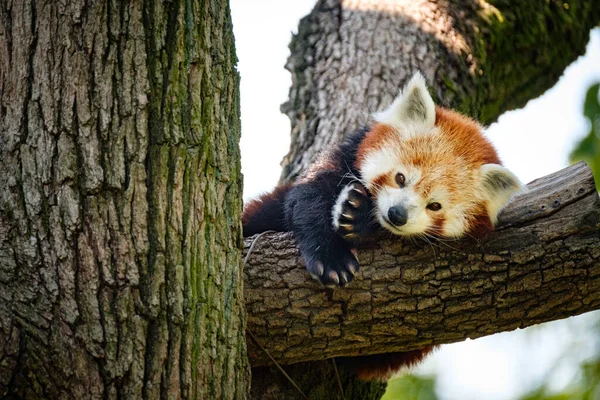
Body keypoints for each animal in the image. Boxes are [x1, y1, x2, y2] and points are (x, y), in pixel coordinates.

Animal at [241, 72, 524, 382]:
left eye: (435, 205)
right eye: (400, 178)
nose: (397, 214)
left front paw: (357, 216)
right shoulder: (338, 160)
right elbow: (307, 199)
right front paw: (332, 257)